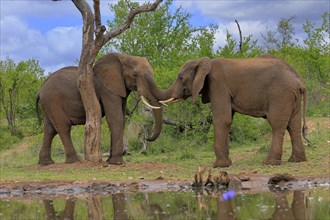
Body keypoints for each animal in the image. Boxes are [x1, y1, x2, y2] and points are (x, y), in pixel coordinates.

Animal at [36, 52, 164, 165]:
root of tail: (41, 88)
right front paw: (117, 163)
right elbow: (116, 119)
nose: (146, 137)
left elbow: (121, 120)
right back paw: (74, 161)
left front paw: (110, 161)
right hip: (53, 100)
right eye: (135, 75)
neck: (124, 57)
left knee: (50, 129)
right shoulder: (107, 89)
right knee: (63, 127)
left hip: (49, 103)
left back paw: (46, 163)